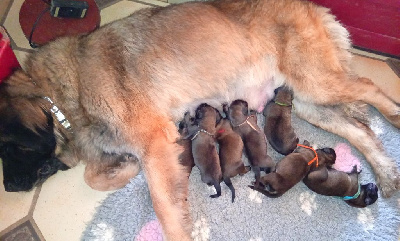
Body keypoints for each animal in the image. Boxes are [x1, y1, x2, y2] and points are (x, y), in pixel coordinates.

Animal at [0, 0, 400, 239]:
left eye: (6, 148)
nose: (10, 189)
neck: (65, 90)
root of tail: (310, 4)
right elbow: (93, 176)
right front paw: (122, 167)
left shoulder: (155, 145)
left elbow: (164, 207)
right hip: (303, 102)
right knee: (359, 130)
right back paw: (387, 174)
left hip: (318, 84)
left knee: (370, 89)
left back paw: (394, 117)